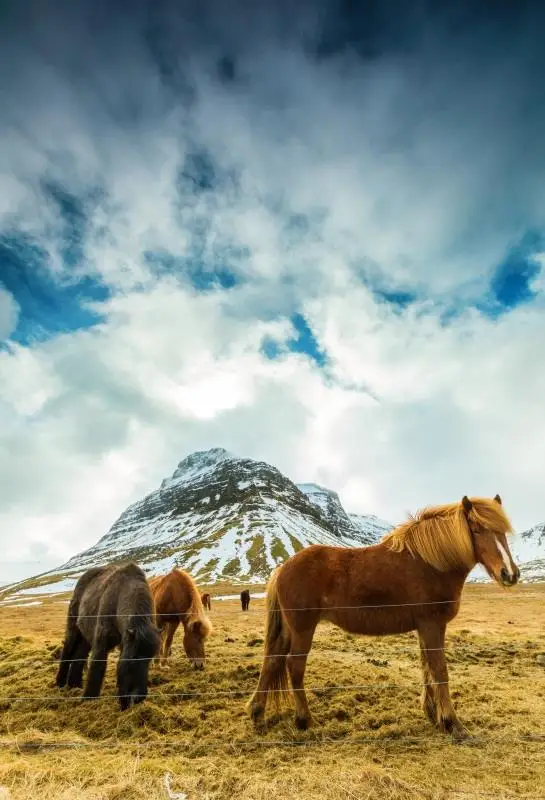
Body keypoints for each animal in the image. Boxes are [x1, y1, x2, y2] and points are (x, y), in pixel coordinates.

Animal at [56, 563, 160, 711]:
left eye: (150, 660)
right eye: (133, 658)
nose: (138, 698)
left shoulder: (124, 643)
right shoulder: (102, 642)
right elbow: (97, 666)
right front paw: (89, 698)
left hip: (85, 639)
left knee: (78, 657)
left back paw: (74, 685)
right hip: (73, 630)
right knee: (67, 652)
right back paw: (60, 683)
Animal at [248, 494, 520, 738]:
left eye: (503, 532)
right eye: (476, 529)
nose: (510, 573)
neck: (431, 564)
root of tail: (283, 567)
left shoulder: (424, 628)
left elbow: (426, 668)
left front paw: (433, 715)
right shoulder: (433, 625)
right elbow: (440, 671)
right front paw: (452, 723)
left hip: (288, 630)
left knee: (272, 661)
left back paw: (257, 713)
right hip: (303, 628)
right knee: (294, 665)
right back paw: (304, 720)